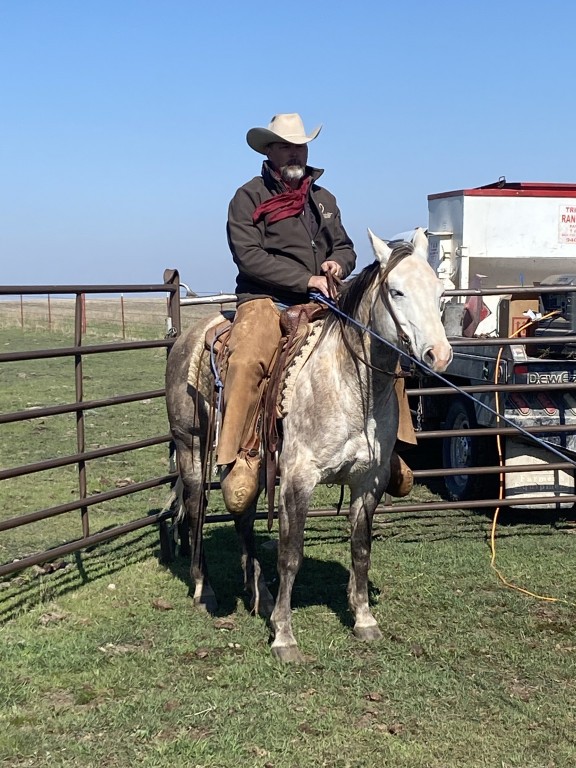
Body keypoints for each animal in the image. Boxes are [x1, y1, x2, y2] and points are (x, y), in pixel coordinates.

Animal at [165, 227, 453, 662]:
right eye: (397, 291)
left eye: (439, 292)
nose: (439, 355)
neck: (349, 384)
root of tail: (189, 336)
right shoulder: (299, 478)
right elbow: (290, 555)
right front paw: (284, 636)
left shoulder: (369, 480)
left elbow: (361, 550)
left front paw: (364, 619)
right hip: (191, 450)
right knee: (196, 511)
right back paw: (206, 591)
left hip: (254, 465)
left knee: (243, 516)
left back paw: (260, 594)